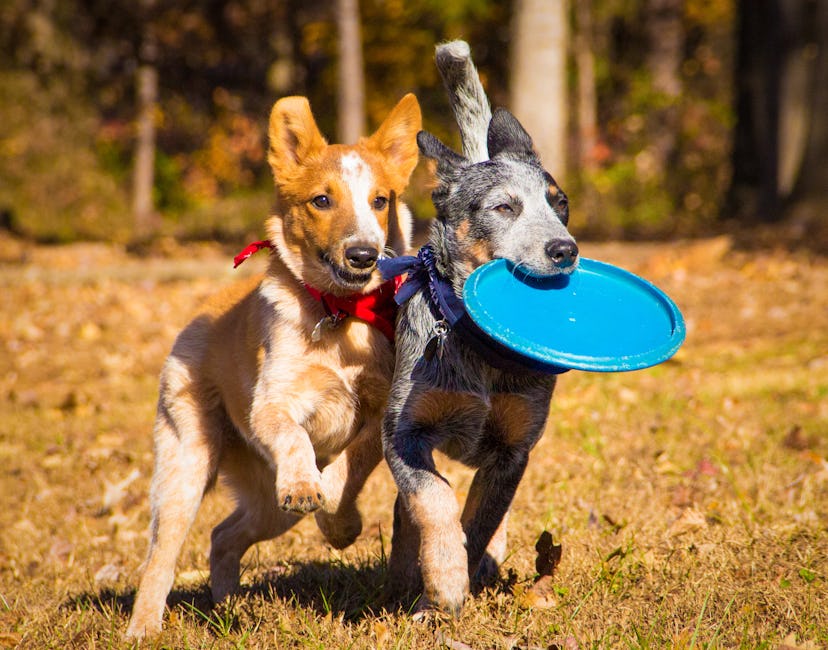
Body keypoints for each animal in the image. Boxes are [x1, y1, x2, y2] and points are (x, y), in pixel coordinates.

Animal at [126, 93, 424, 636]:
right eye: (321, 201)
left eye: (380, 201)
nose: (364, 254)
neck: (338, 315)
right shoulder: (270, 405)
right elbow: (293, 436)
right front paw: (308, 486)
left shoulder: (385, 412)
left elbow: (348, 466)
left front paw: (339, 522)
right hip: (186, 464)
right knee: (160, 556)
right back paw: (143, 629)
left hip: (267, 505)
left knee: (224, 535)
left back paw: (227, 608)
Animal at [380, 41, 580, 612]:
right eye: (504, 207)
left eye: (560, 203)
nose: (565, 249)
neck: (483, 352)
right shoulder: (402, 431)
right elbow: (433, 498)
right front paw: (444, 582)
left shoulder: (513, 451)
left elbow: (482, 516)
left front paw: (465, 573)